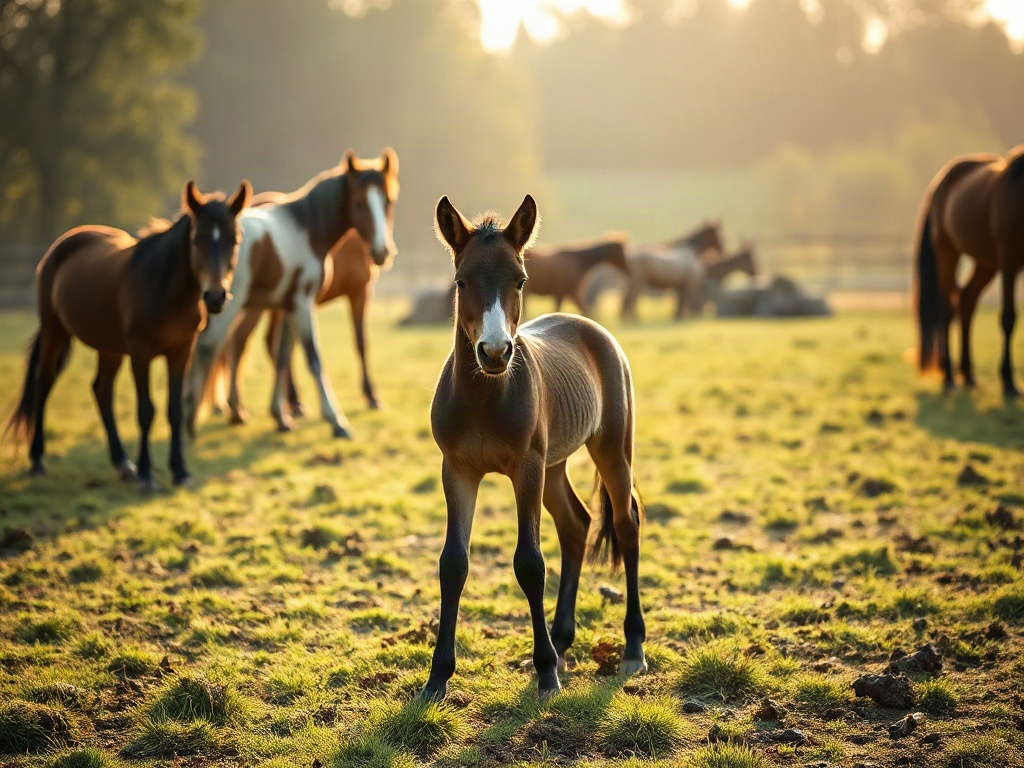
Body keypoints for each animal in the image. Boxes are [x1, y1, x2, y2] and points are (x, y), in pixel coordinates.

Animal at [4, 181, 251, 487]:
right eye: (197, 239)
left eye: (234, 240)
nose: (216, 297)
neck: (162, 288)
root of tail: (61, 246)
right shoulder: (140, 354)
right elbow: (146, 411)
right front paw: (146, 474)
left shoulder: (180, 353)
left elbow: (174, 410)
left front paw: (180, 471)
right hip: (55, 331)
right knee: (43, 382)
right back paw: (38, 460)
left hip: (108, 347)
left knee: (101, 390)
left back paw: (123, 464)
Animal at [182, 149, 399, 438]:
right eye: (359, 203)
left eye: (388, 201)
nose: (381, 252)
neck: (308, 230)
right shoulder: (304, 303)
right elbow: (314, 358)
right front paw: (336, 420)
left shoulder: (288, 307)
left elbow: (283, 356)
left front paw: (281, 415)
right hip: (226, 305)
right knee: (208, 346)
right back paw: (191, 419)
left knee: (228, 345)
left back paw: (232, 411)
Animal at [422, 194, 646, 702]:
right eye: (461, 281)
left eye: (520, 280)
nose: (494, 353)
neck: (485, 397)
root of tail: (591, 327)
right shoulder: (457, 470)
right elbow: (453, 564)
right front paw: (437, 677)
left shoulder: (525, 467)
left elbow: (529, 562)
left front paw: (545, 673)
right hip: (555, 465)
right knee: (576, 525)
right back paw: (562, 642)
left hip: (609, 450)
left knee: (625, 524)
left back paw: (631, 647)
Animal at [916, 146, 1024, 396]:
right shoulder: (1009, 260)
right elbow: (1009, 317)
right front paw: (1009, 381)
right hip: (948, 252)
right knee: (947, 310)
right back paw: (949, 375)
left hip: (986, 262)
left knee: (966, 302)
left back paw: (967, 374)